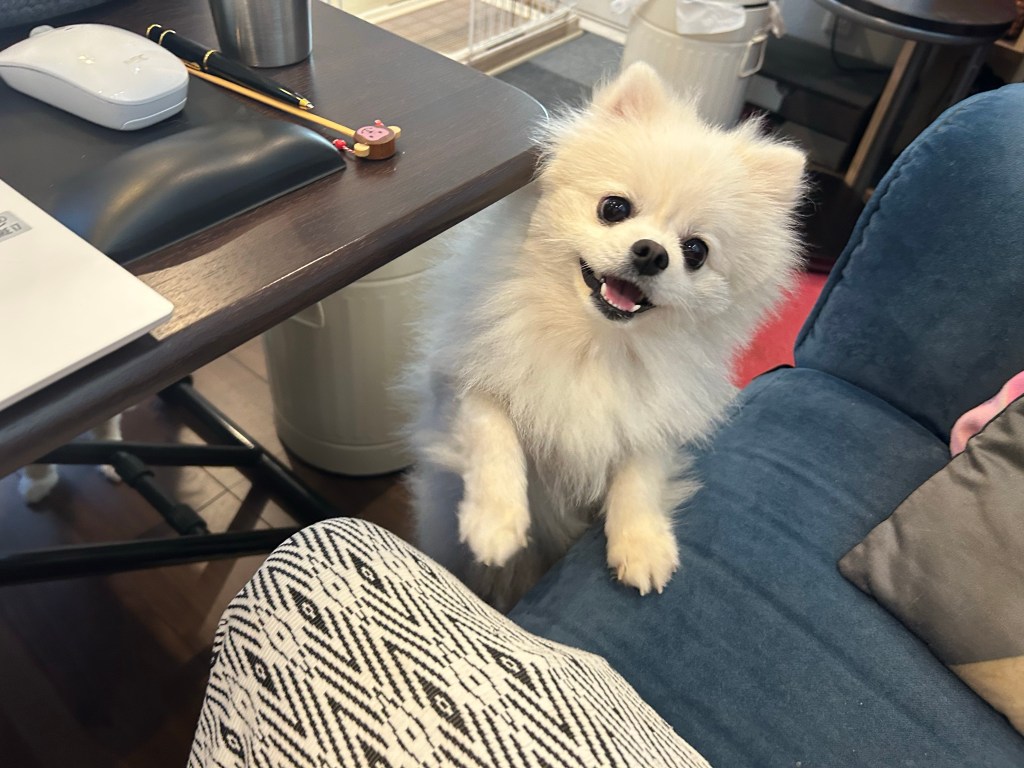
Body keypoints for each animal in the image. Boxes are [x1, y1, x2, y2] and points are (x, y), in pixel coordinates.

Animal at [402, 62, 806, 610]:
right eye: (614, 208)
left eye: (696, 251)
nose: (651, 252)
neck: (594, 342)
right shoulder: (464, 378)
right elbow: (495, 435)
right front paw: (495, 521)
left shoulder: (654, 415)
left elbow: (640, 473)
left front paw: (642, 544)